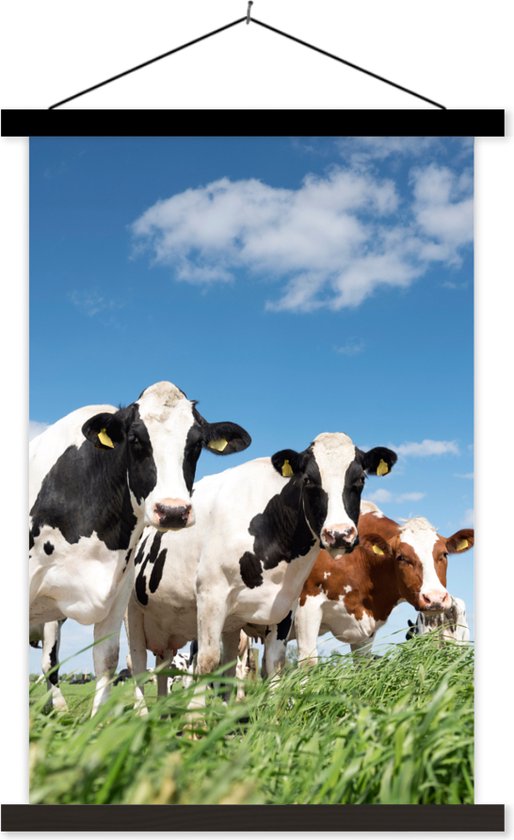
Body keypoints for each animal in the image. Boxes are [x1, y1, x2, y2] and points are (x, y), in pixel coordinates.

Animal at [29, 380, 251, 714]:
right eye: (135, 439)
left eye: (196, 444)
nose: (173, 511)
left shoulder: (118, 591)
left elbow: (107, 659)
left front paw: (98, 721)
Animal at [126, 432, 397, 713]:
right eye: (308, 480)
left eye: (360, 479)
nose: (340, 534)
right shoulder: (211, 596)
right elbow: (208, 661)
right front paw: (195, 719)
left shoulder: (285, 607)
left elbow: (274, 663)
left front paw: (275, 713)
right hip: (132, 612)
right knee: (138, 666)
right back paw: (143, 713)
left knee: (175, 666)